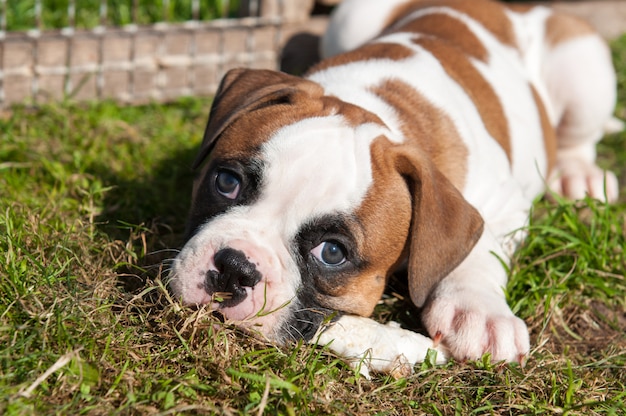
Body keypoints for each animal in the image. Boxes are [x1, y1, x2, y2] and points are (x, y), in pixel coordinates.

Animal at [163, 0, 616, 376]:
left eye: (332, 253)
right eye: (227, 182)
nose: (235, 268)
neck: (378, 109)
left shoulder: (504, 203)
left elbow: (480, 249)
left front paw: (479, 312)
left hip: (584, 70)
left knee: (579, 138)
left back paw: (579, 175)